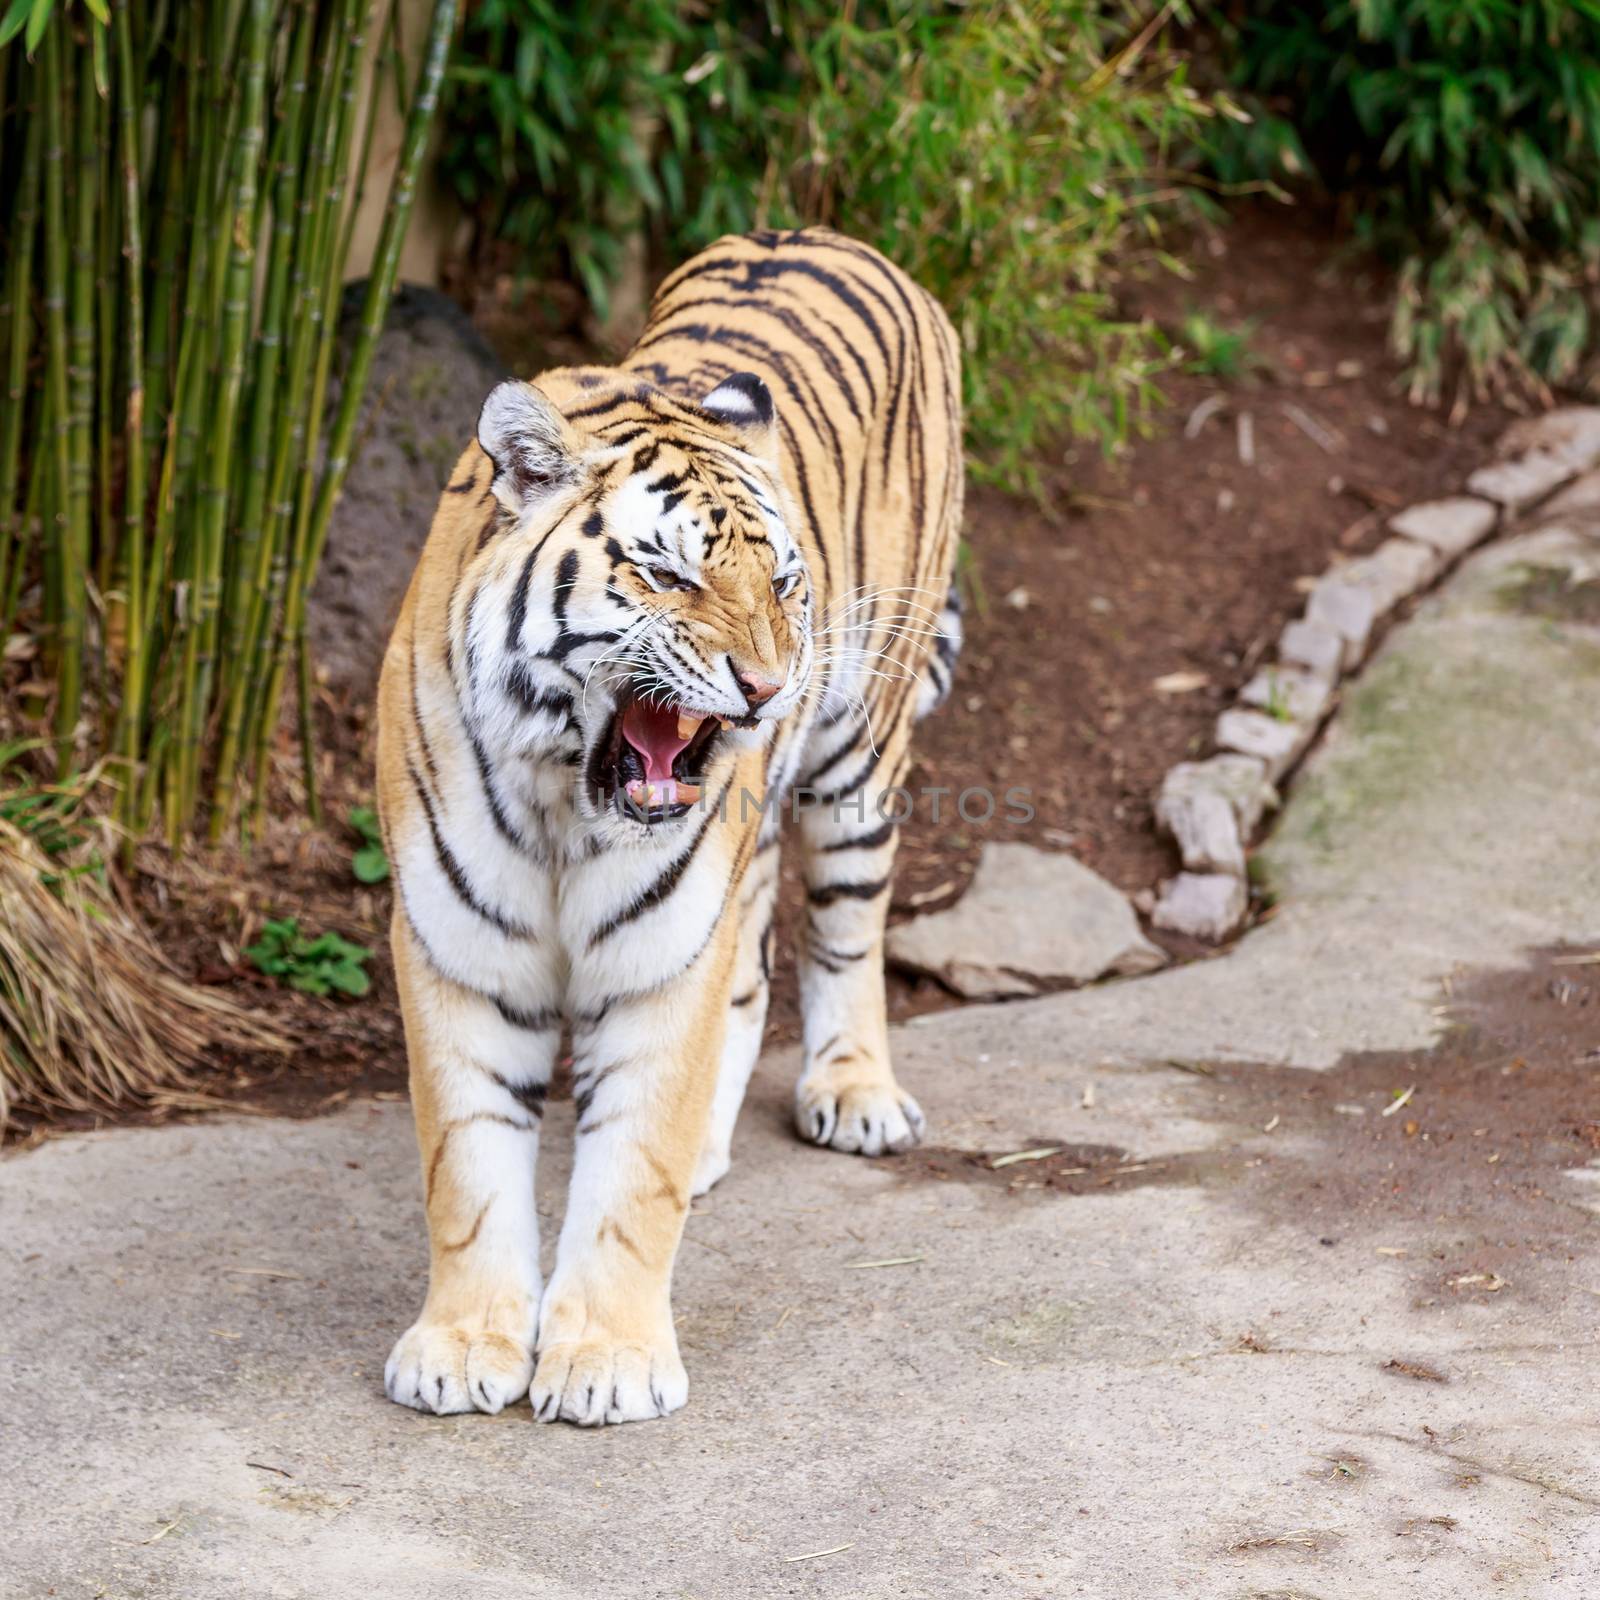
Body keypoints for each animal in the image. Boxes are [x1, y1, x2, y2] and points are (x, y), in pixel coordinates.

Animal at [377, 225, 960, 1427]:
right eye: (669, 573)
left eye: (782, 581)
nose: (770, 687)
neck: (564, 799)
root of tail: (829, 233)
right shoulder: (457, 948)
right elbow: (466, 1165)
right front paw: (462, 1345)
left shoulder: (660, 952)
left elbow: (630, 1175)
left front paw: (604, 1360)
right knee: (750, 968)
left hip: (859, 756)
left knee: (845, 932)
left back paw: (855, 1092)